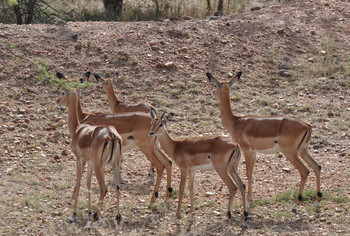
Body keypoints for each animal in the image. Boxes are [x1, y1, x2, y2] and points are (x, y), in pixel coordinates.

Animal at [57, 89, 123, 225]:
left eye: (62, 93)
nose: (57, 101)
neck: (77, 129)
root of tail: (112, 136)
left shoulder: (80, 159)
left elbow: (78, 181)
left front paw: (73, 214)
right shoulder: (90, 162)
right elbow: (87, 183)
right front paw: (87, 212)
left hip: (99, 166)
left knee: (104, 189)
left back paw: (94, 217)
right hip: (114, 164)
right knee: (117, 187)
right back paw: (117, 217)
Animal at [205, 71, 322, 211]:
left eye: (215, 86)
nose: (212, 93)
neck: (236, 122)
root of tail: (306, 126)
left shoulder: (246, 149)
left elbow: (248, 173)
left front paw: (248, 202)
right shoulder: (254, 151)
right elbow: (251, 172)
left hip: (291, 153)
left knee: (305, 171)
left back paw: (295, 205)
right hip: (303, 151)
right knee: (317, 166)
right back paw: (317, 202)